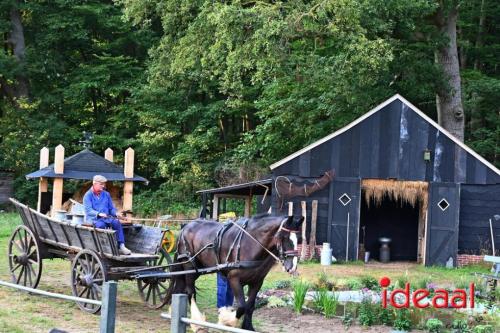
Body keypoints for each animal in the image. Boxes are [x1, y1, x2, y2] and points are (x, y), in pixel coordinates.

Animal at [166, 213, 302, 330]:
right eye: (283, 237)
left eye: (300, 239)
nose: (292, 266)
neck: (250, 244)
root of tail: (185, 226)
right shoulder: (234, 279)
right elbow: (241, 307)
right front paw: (227, 320)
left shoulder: (257, 282)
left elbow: (250, 306)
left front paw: (248, 327)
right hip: (189, 266)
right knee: (190, 292)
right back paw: (196, 321)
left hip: (197, 270)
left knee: (181, 288)